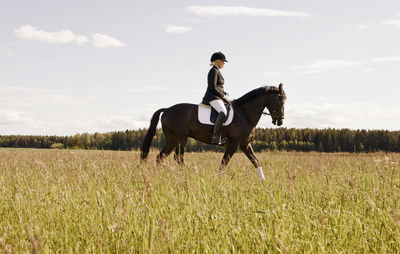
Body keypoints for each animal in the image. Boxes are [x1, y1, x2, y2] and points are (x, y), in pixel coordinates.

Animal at [141, 84, 284, 180]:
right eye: (280, 100)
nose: (280, 121)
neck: (245, 114)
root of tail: (166, 110)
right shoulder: (234, 143)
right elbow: (224, 162)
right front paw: (218, 179)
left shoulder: (245, 144)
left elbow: (255, 161)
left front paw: (263, 181)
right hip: (181, 138)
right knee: (178, 158)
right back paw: (186, 174)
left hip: (172, 139)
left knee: (161, 157)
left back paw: (160, 176)